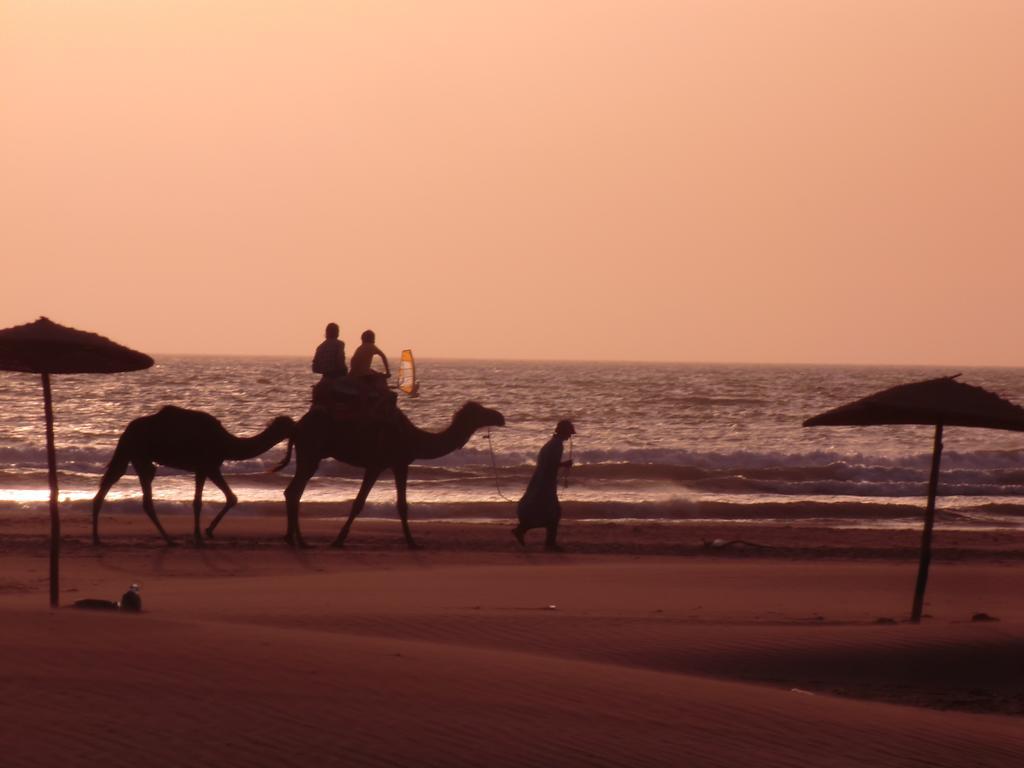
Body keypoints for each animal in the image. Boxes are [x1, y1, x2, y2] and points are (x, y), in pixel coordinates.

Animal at [92, 409, 296, 548]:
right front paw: (201, 535)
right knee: (145, 493)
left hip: (129, 452)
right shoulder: (208, 466)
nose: (298, 431)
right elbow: (206, 501)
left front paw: (205, 532)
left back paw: (97, 537)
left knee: (111, 479)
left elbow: (223, 498)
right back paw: (169, 539)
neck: (226, 442)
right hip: (139, 453)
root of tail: (126, 431)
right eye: (290, 425)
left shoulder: (205, 468)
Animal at [256, 403, 503, 548]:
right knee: (295, 491)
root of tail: (297, 426)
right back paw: (300, 540)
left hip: (309, 454)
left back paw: (292, 538)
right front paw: (339, 539)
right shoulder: (382, 464)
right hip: (311, 452)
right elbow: (362, 503)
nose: (500, 417)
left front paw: (411, 540)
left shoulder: (395, 464)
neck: (415, 438)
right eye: (481, 411)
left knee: (292, 491)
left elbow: (400, 505)